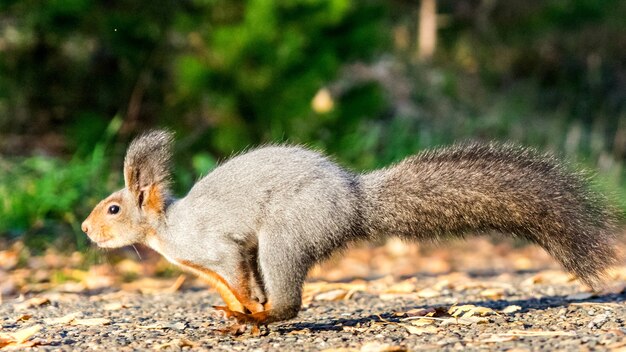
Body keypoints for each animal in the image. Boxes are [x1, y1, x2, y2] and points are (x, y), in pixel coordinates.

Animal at [80, 129, 616, 324]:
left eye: (113, 209)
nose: (86, 230)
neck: (168, 229)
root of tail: (354, 199)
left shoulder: (218, 246)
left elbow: (235, 267)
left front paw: (247, 307)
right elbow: (237, 279)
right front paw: (241, 303)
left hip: (288, 233)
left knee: (291, 300)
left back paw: (265, 316)